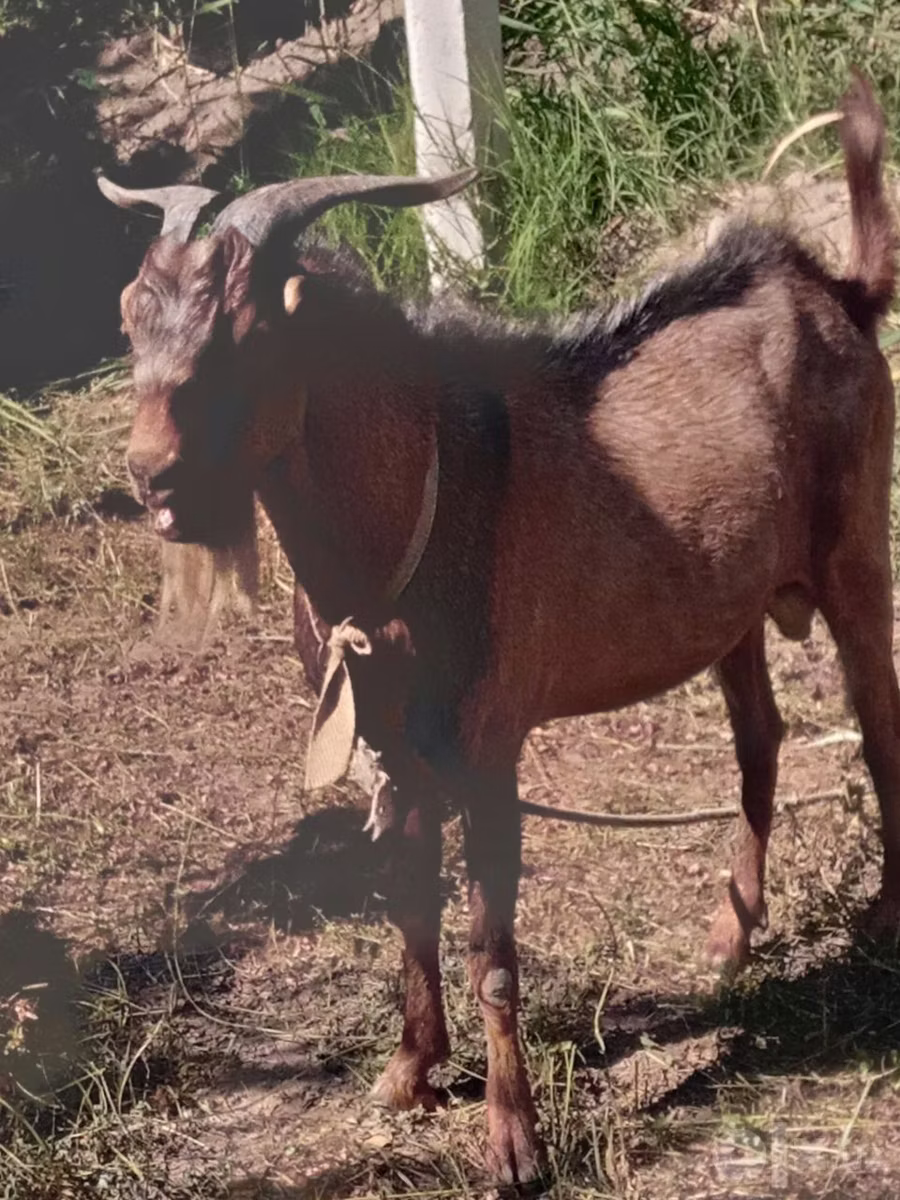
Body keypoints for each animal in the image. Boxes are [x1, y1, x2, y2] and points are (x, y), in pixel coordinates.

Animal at [99, 72, 899, 1184]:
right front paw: (408, 1072)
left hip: (855, 551)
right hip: (730, 608)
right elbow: (410, 910)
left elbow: (493, 953)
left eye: (250, 336)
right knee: (760, 741)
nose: (154, 479)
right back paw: (730, 938)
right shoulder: (389, 744)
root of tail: (840, 291)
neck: (407, 512)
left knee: (879, 722)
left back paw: (884, 917)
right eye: (131, 315)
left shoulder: (489, 750)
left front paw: (514, 1142)